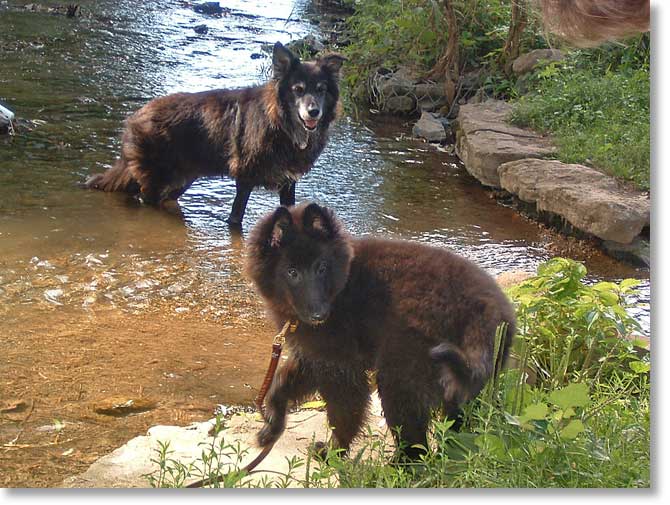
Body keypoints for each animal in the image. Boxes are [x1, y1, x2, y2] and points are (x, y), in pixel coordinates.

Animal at [245, 203, 516, 458]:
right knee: (466, 425)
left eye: (321, 268)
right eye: (292, 272)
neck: (342, 284)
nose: (319, 315)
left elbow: (343, 412)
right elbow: (280, 385)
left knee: (415, 442)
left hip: (401, 375)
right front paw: (271, 428)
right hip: (471, 384)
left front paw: (334, 452)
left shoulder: (340, 365)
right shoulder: (315, 356)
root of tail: (484, 311)